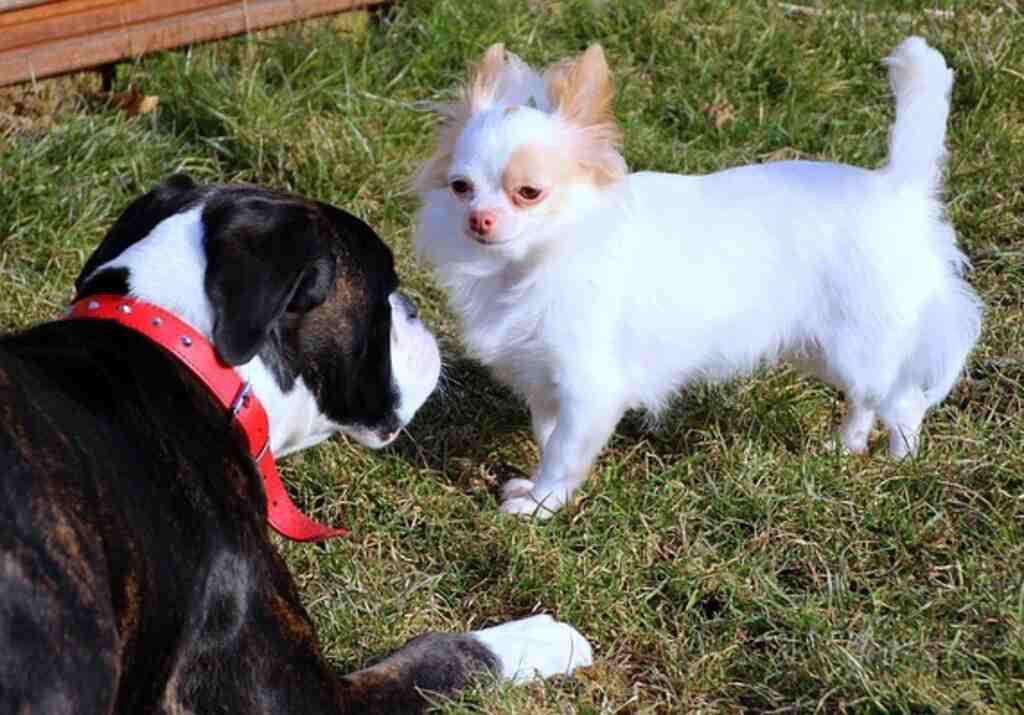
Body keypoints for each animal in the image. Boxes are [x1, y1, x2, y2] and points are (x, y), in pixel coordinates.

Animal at [0, 174, 589, 712]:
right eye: (383, 290)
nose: (416, 309)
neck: (195, 354)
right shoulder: (305, 695)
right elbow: (440, 656)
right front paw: (541, 637)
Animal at [411, 38, 978, 514]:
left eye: (529, 192)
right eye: (461, 187)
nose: (479, 219)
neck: (534, 261)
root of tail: (897, 188)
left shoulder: (588, 389)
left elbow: (563, 453)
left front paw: (541, 507)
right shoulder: (545, 383)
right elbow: (548, 436)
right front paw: (534, 490)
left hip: (861, 341)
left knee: (902, 401)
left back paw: (898, 464)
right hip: (824, 347)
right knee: (865, 399)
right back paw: (846, 448)